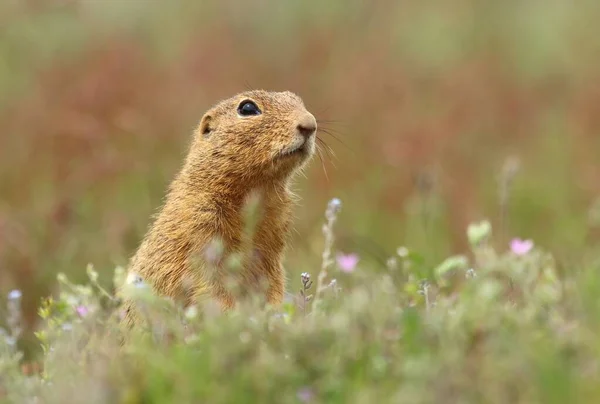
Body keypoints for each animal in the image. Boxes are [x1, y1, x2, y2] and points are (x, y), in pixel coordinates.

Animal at [118, 90, 318, 326]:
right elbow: (211, 287)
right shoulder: (201, 230)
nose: (310, 124)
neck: (255, 193)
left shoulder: (274, 243)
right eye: (247, 108)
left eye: (297, 100)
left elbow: (273, 283)